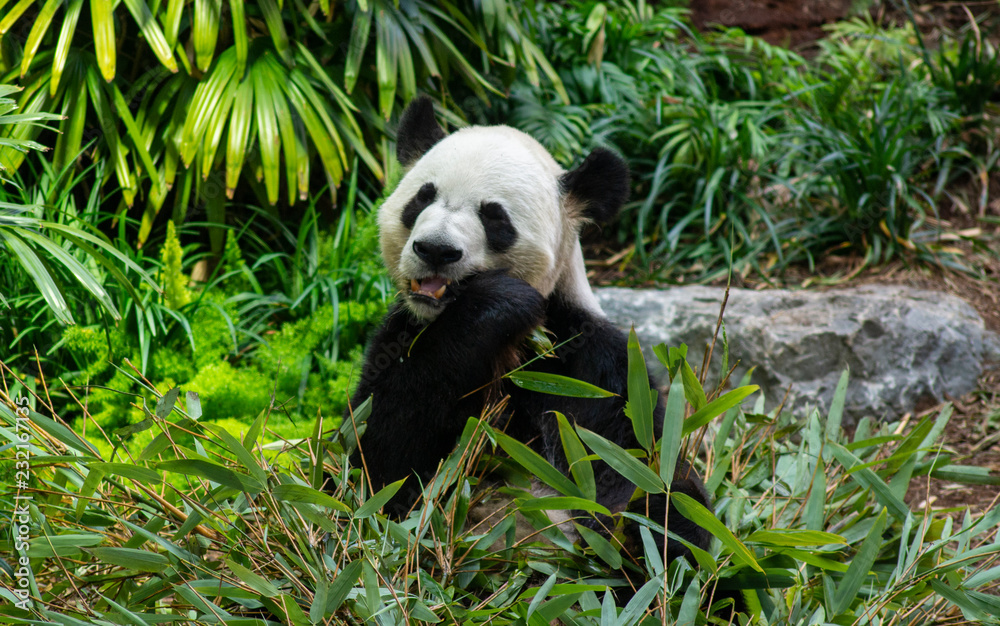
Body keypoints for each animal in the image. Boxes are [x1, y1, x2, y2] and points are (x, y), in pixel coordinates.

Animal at [347, 96, 713, 567]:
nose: (436, 250)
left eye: (494, 217)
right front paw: (501, 300)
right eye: (422, 197)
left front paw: (640, 530)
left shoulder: (588, 361)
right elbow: (379, 466)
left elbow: (637, 463)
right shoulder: (403, 336)